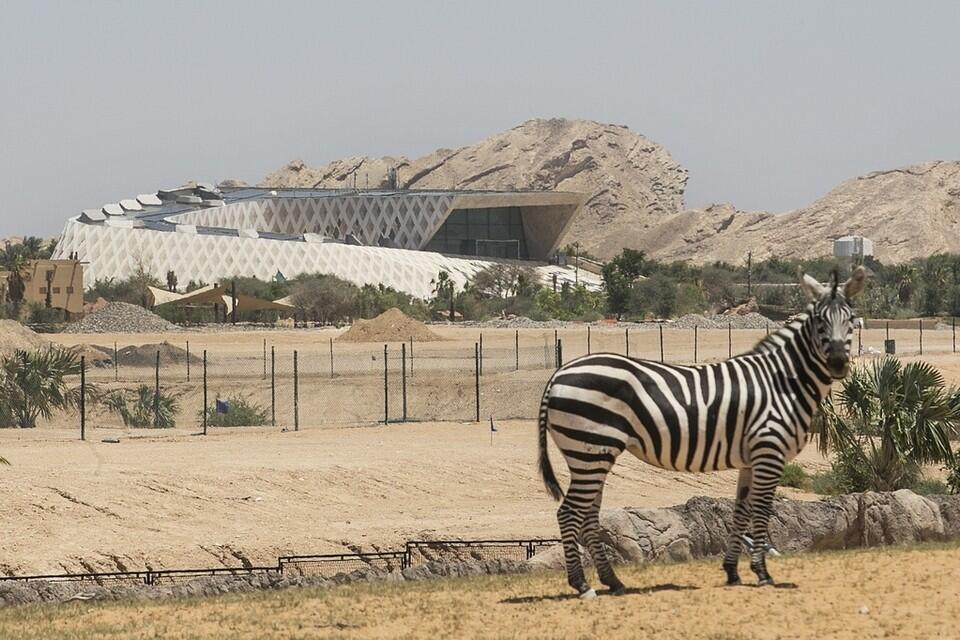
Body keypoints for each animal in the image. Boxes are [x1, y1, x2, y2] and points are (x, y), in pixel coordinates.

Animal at [540, 266, 864, 600]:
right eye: (819, 321)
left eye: (851, 319)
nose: (838, 363)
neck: (783, 381)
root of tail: (559, 374)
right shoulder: (769, 453)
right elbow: (761, 511)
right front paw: (762, 573)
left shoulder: (751, 459)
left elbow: (741, 512)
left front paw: (732, 571)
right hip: (589, 450)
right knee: (568, 513)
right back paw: (582, 585)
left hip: (592, 455)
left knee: (588, 516)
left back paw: (613, 581)